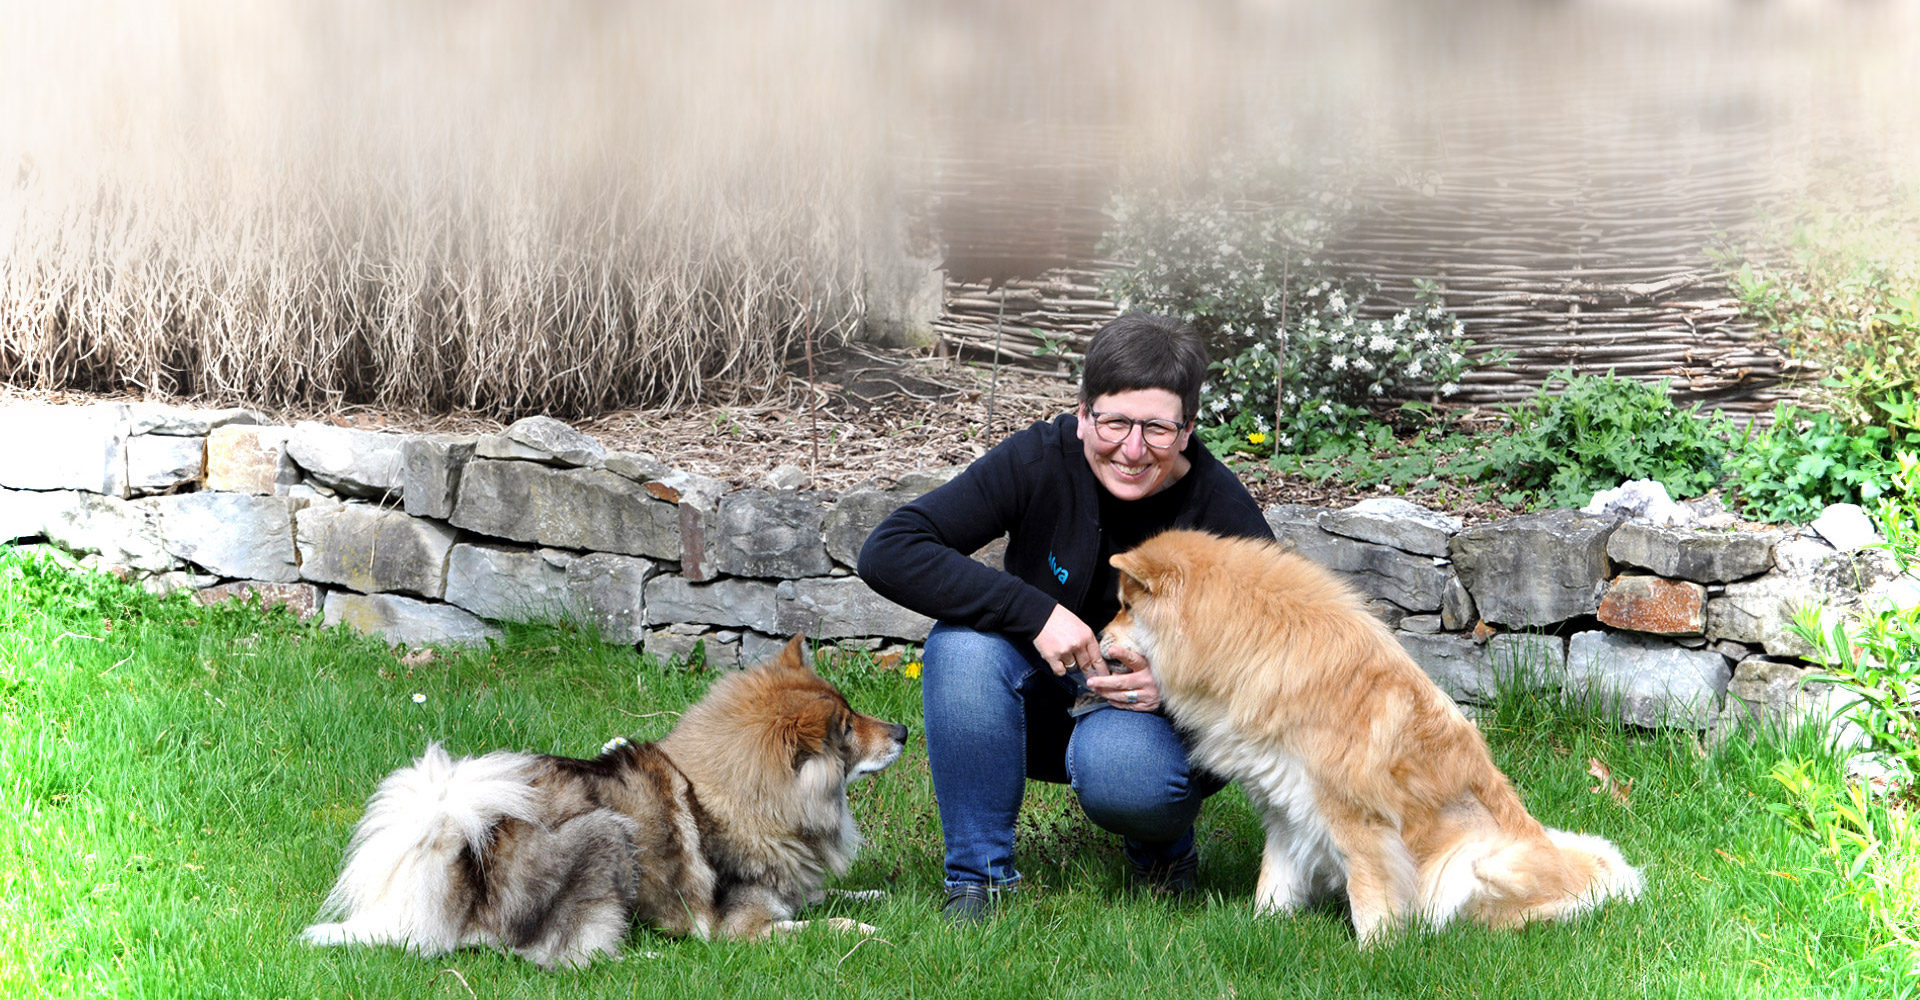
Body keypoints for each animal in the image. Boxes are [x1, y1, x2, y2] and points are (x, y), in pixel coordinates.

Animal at [299, 633, 906, 967]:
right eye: (848, 728)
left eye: (854, 713)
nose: (902, 730)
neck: (738, 797)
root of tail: (459, 870)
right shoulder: (744, 927)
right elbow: (823, 926)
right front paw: (869, 932)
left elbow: (835, 896)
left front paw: (881, 897)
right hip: (607, 834)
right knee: (562, 956)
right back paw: (648, 953)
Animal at [1105, 529, 1643, 944]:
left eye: (1127, 607)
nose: (1101, 636)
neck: (1260, 642)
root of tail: (1584, 881)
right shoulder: (1285, 808)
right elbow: (1274, 883)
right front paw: (1261, 930)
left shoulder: (1357, 822)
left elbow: (1370, 899)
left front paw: (1375, 954)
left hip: (1472, 863)